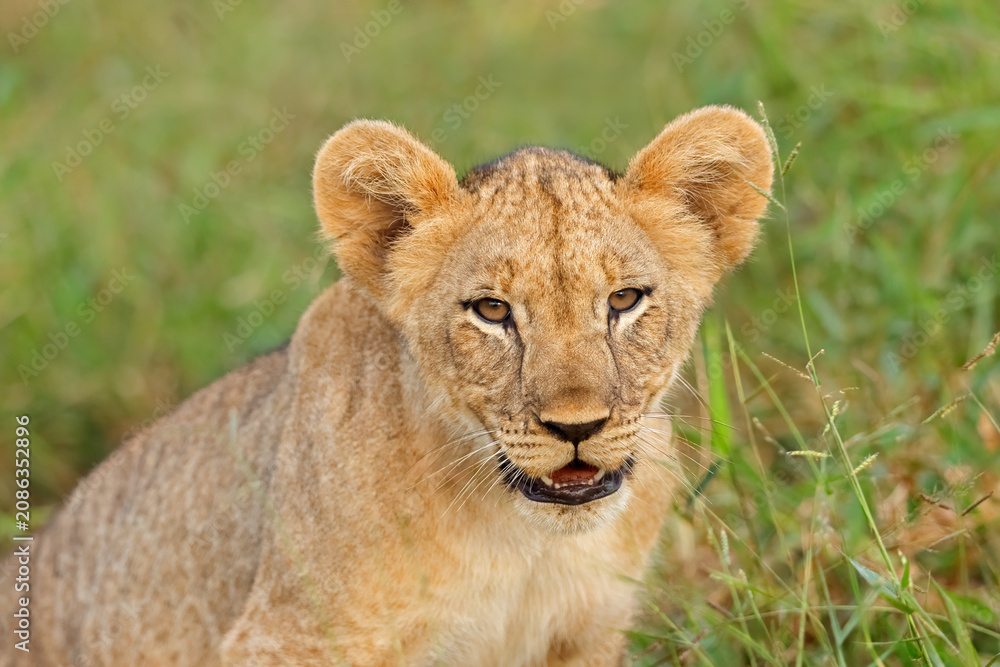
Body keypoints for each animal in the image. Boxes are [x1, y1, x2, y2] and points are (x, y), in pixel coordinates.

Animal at [1, 105, 772, 666]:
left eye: (624, 300)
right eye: (492, 311)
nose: (577, 427)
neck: (522, 541)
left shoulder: (589, 632)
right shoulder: (286, 638)